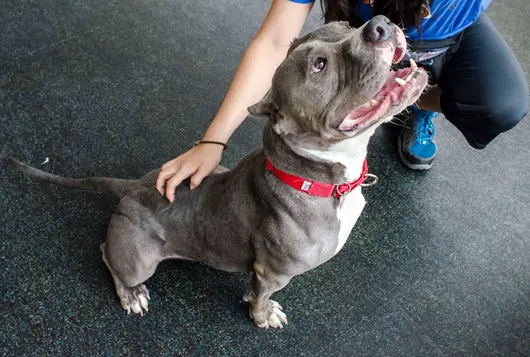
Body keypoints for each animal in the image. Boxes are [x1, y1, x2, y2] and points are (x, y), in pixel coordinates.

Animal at [1, 16, 424, 328]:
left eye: (343, 24)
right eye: (319, 65)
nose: (379, 24)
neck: (314, 176)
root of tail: (133, 187)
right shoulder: (272, 272)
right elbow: (261, 296)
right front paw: (262, 316)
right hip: (139, 260)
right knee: (109, 254)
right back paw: (131, 294)